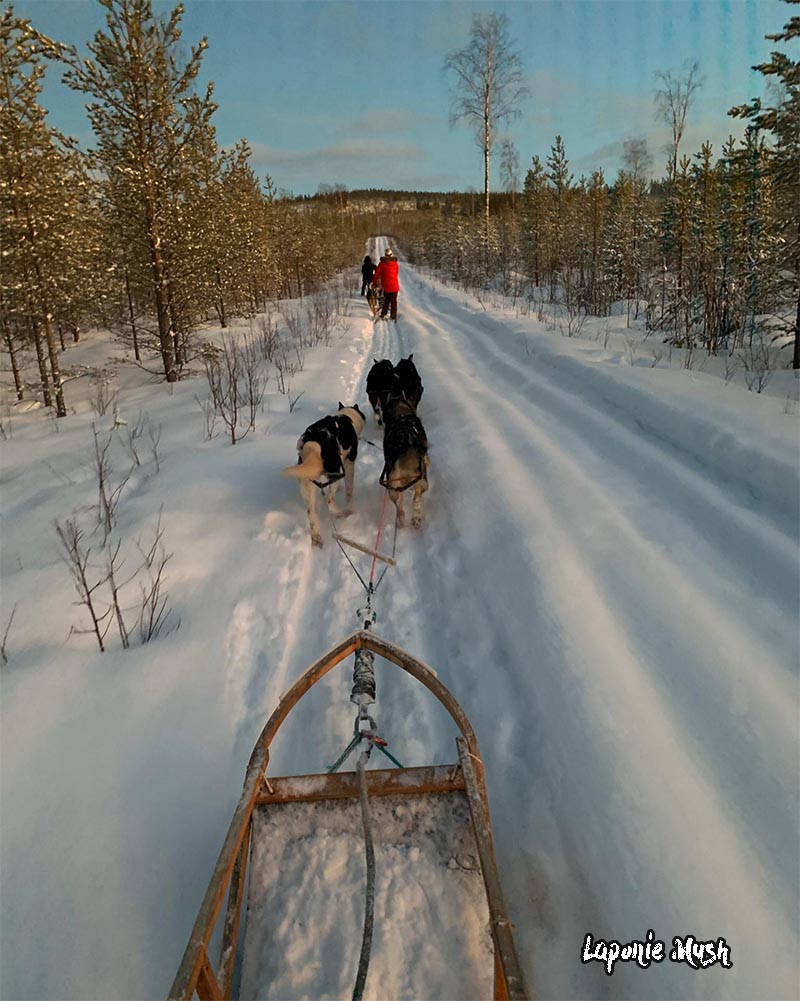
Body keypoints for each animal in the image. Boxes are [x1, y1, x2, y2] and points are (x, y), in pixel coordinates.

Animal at [282, 402, 366, 548]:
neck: (346, 416)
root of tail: (314, 442)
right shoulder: (349, 463)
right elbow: (349, 490)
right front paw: (350, 508)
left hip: (307, 482)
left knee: (311, 512)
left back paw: (316, 537)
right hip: (334, 472)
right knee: (329, 501)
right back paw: (340, 513)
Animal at [382, 392, 432, 528]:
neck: (400, 413)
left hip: (393, 488)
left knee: (399, 505)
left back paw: (403, 521)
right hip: (423, 482)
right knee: (416, 498)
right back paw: (416, 518)